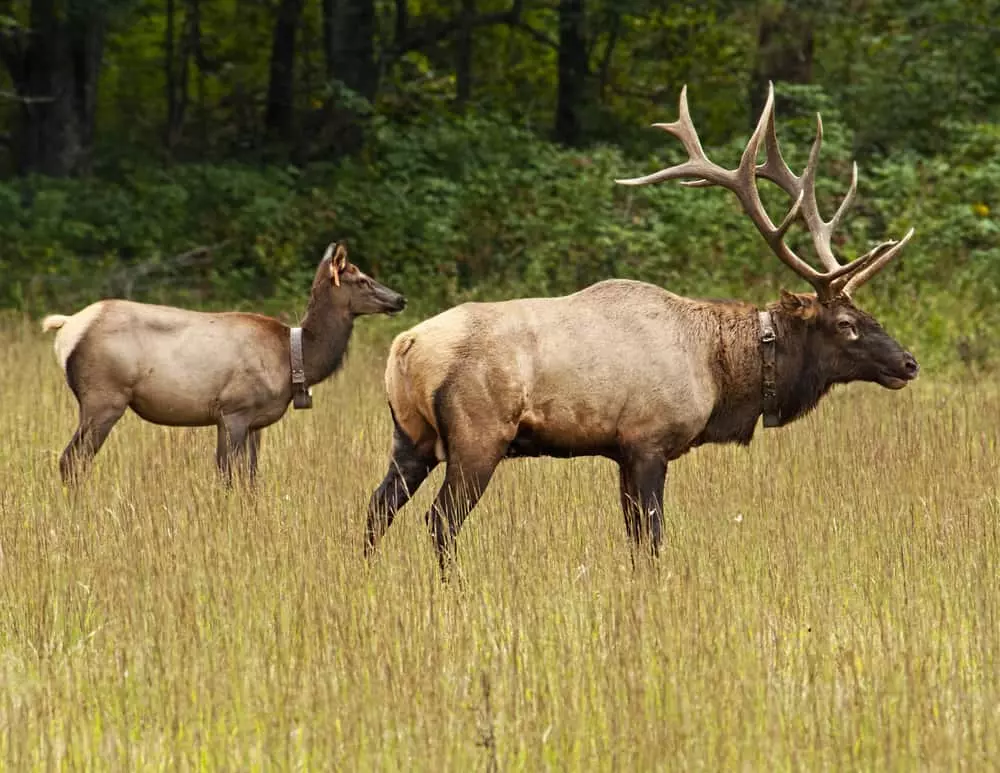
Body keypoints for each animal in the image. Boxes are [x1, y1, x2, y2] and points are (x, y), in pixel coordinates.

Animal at [42, 242, 405, 484]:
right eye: (362, 279)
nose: (400, 298)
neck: (294, 361)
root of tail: (66, 328)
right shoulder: (234, 410)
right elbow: (228, 476)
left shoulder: (253, 421)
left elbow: (251, 478)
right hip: (104, 396)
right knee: (71, 460)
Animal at [364, 83, 920, 574]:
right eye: (846, 324)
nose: (908, 362)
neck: (720, 375)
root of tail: (404, 347)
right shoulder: (649, 440)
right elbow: (652, 539)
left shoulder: (622, 453)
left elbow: (634, 539)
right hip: (478, 435)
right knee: (440, 521)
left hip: (410, 436)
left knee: (375, 510)